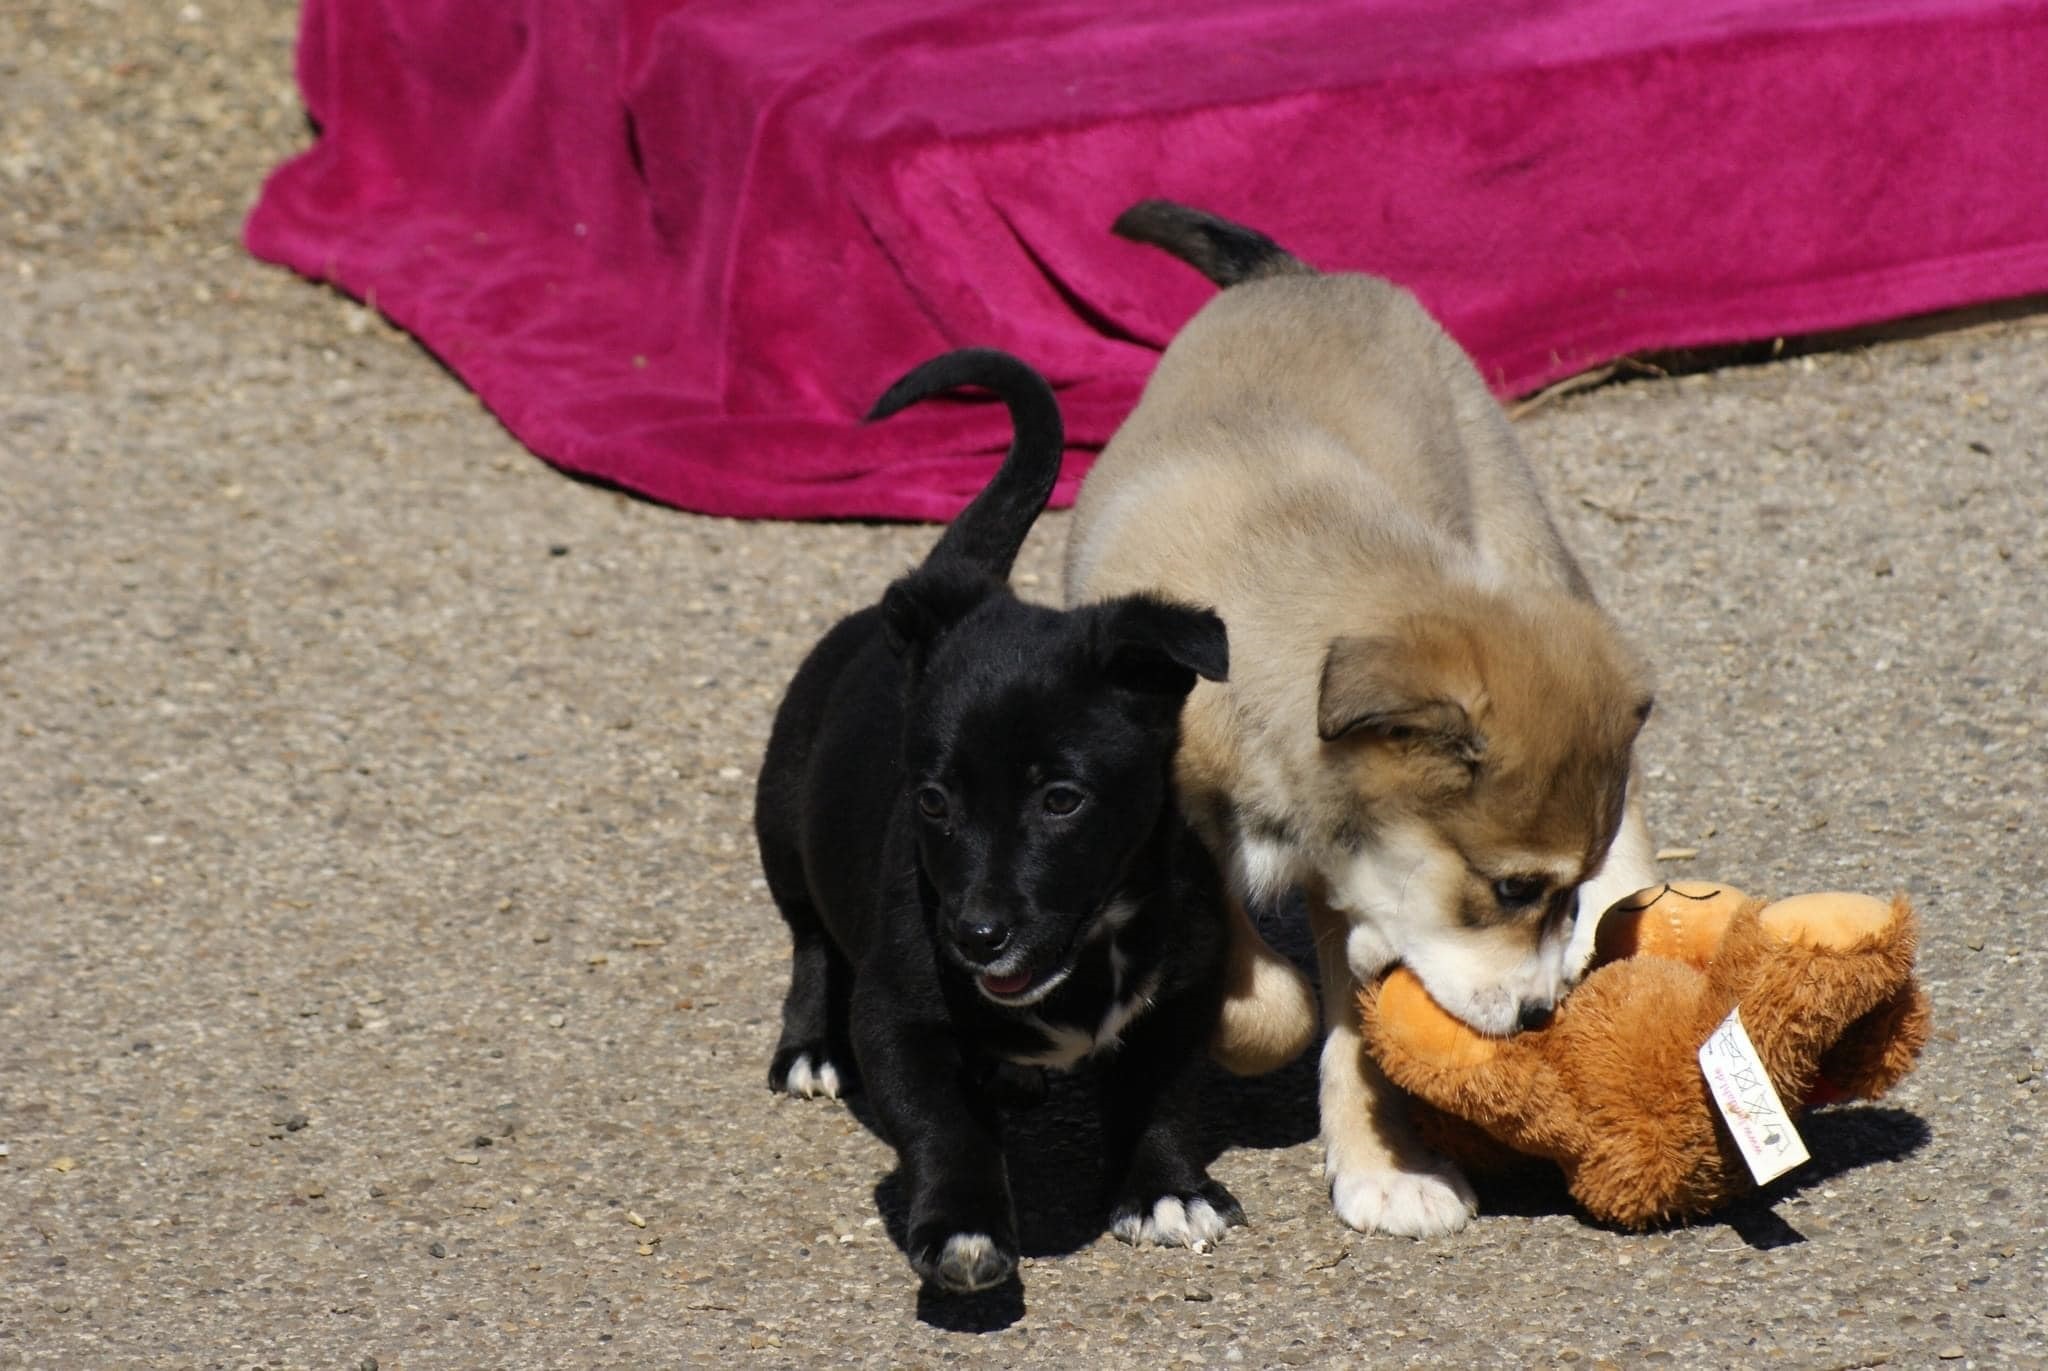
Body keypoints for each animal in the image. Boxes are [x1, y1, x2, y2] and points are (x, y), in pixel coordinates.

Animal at [754, 348, 1245, 1293]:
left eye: (1062, 799)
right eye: (933, 801)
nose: (976, 936)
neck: (1092, 947)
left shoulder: (1186, 990)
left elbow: (1161, 1097)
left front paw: (1166, 1190)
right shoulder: (899, 1016)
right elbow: (945, 1126)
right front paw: (963, 1228)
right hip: (781, 821)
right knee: (808, 936)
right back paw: (810, 1046)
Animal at [1063, 202, 1658, 1237]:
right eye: (1510, 888)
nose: (1542, 1016)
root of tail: (1298, 277)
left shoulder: (1354, 878)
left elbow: (1354, 1022)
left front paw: (1385, 1166)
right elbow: (1277, 1003)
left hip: (1521, 536)